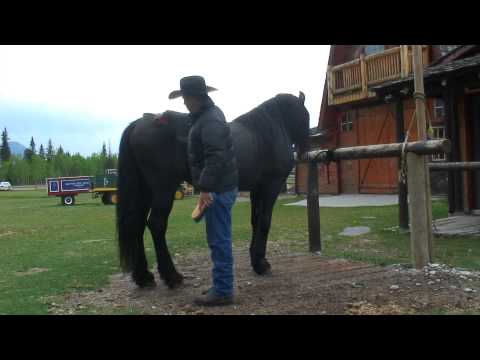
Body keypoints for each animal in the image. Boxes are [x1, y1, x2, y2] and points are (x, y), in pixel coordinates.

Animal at [118, 93, 310, 290]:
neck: (266, 132)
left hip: (145, 191)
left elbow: (255, 221)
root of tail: (140, 123)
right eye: (306, 115)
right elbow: (264, 222)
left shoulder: (256, 189)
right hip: (164, 189)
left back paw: (144, 277)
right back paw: (172, 276)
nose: (304, 151)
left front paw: (255, 260)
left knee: (136, 224)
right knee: (156, 224)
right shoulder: (271, 186)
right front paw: (261, 264)